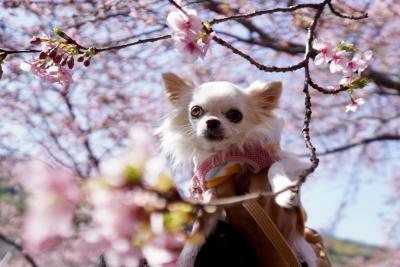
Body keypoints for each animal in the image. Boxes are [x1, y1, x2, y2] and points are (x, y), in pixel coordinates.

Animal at [158, 73, 318, 267]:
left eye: (235, 115)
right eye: (196, 111)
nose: (212, 122)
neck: (228, 155)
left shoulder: (287, 161)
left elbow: (274, 167)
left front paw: (285, 193)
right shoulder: (212, 199)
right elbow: (194, 237)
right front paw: (184, 261)